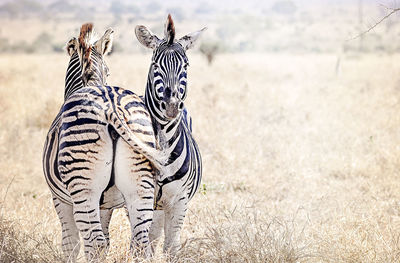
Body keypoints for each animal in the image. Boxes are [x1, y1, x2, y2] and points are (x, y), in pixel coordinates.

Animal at [136, 14, 208, 256]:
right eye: (155, 65)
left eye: (185, 65)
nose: (171, 106)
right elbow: (141, 245)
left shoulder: (179, 201)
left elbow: (170, 247)